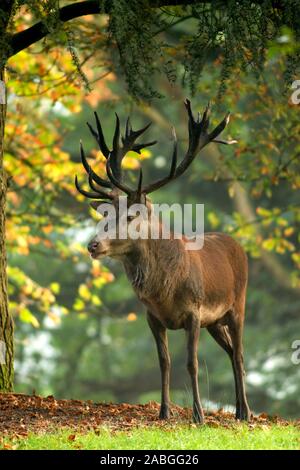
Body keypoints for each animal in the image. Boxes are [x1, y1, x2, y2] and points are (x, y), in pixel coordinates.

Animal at [74, 99, 251, 422]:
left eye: (130, 217)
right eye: (104, 214)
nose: (92, 245)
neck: (165, 291)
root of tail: (237, 245)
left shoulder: (194, 311)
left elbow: (192, 363)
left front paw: (198, 416)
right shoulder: (152, 316)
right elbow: (164, 362)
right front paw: (164, 412)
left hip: (237, 306)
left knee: (240, 353)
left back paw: (245, 411)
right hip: (214, 322)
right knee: (231, 351)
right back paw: (236, 410)